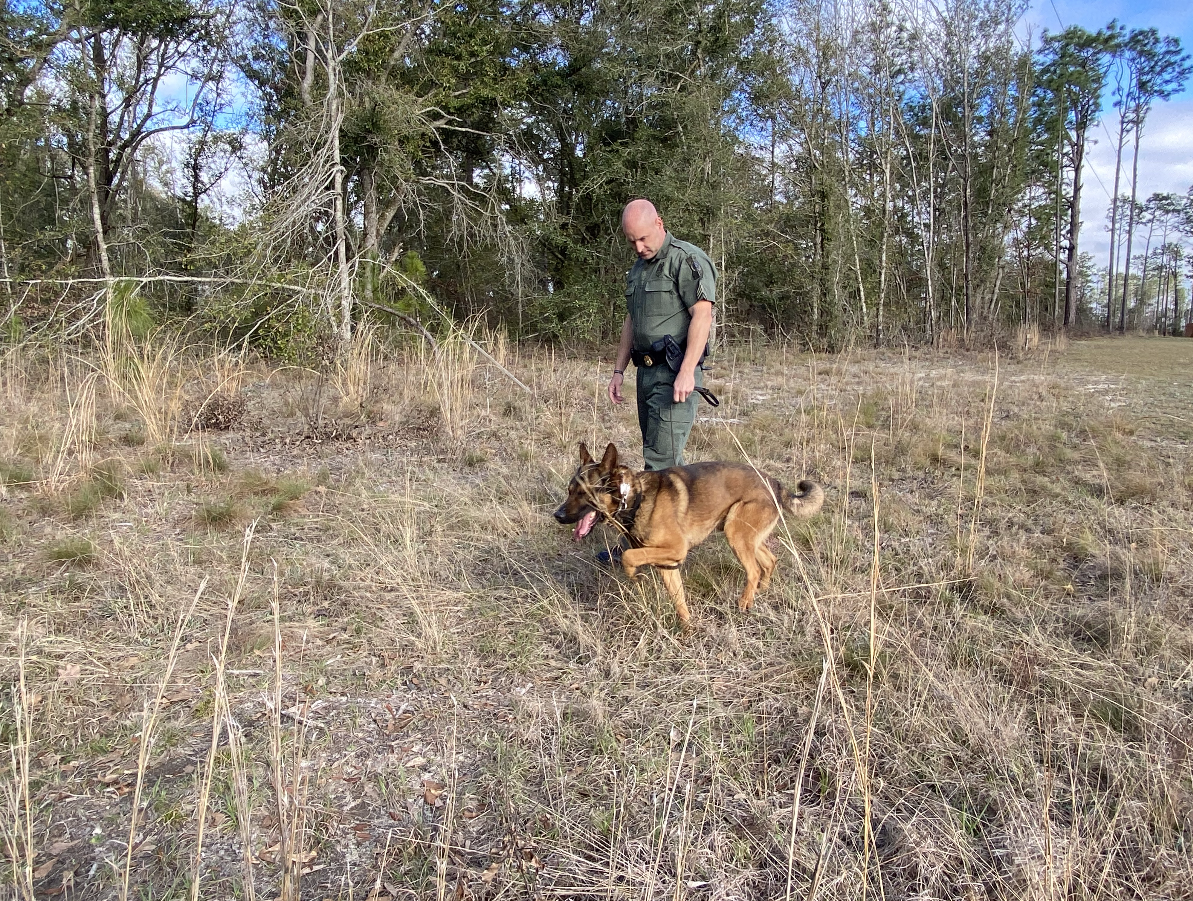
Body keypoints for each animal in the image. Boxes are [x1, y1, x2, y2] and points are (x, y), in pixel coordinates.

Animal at [553, 443, 825, 625]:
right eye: (569, 490)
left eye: (583, 493)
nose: (557, 515)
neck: (634, 498)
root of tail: (775, 482)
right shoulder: (667, 563)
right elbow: (678, 599)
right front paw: (688, 628)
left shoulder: (675, 550)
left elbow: (629, 556)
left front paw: (633, 574)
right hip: (746, 535)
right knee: (769, 561)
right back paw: (761, 592)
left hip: (736, 534)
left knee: (755, 570)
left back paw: (745, 602)